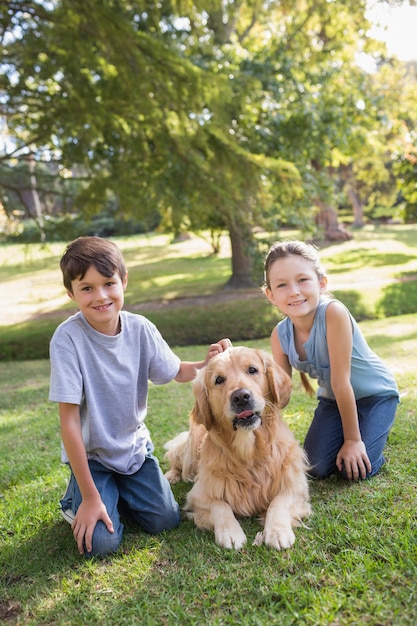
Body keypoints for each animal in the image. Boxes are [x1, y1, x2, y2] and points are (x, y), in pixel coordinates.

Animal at [164, 344, 310, 548]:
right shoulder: (198, 496)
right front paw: (230, 532)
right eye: (219, 380)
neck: (249, 453)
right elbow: (220, 505)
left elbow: (278, 501)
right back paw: (171, 475)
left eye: (252, 370)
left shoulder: (296, 486)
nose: (241, 397)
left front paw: (277, 530)